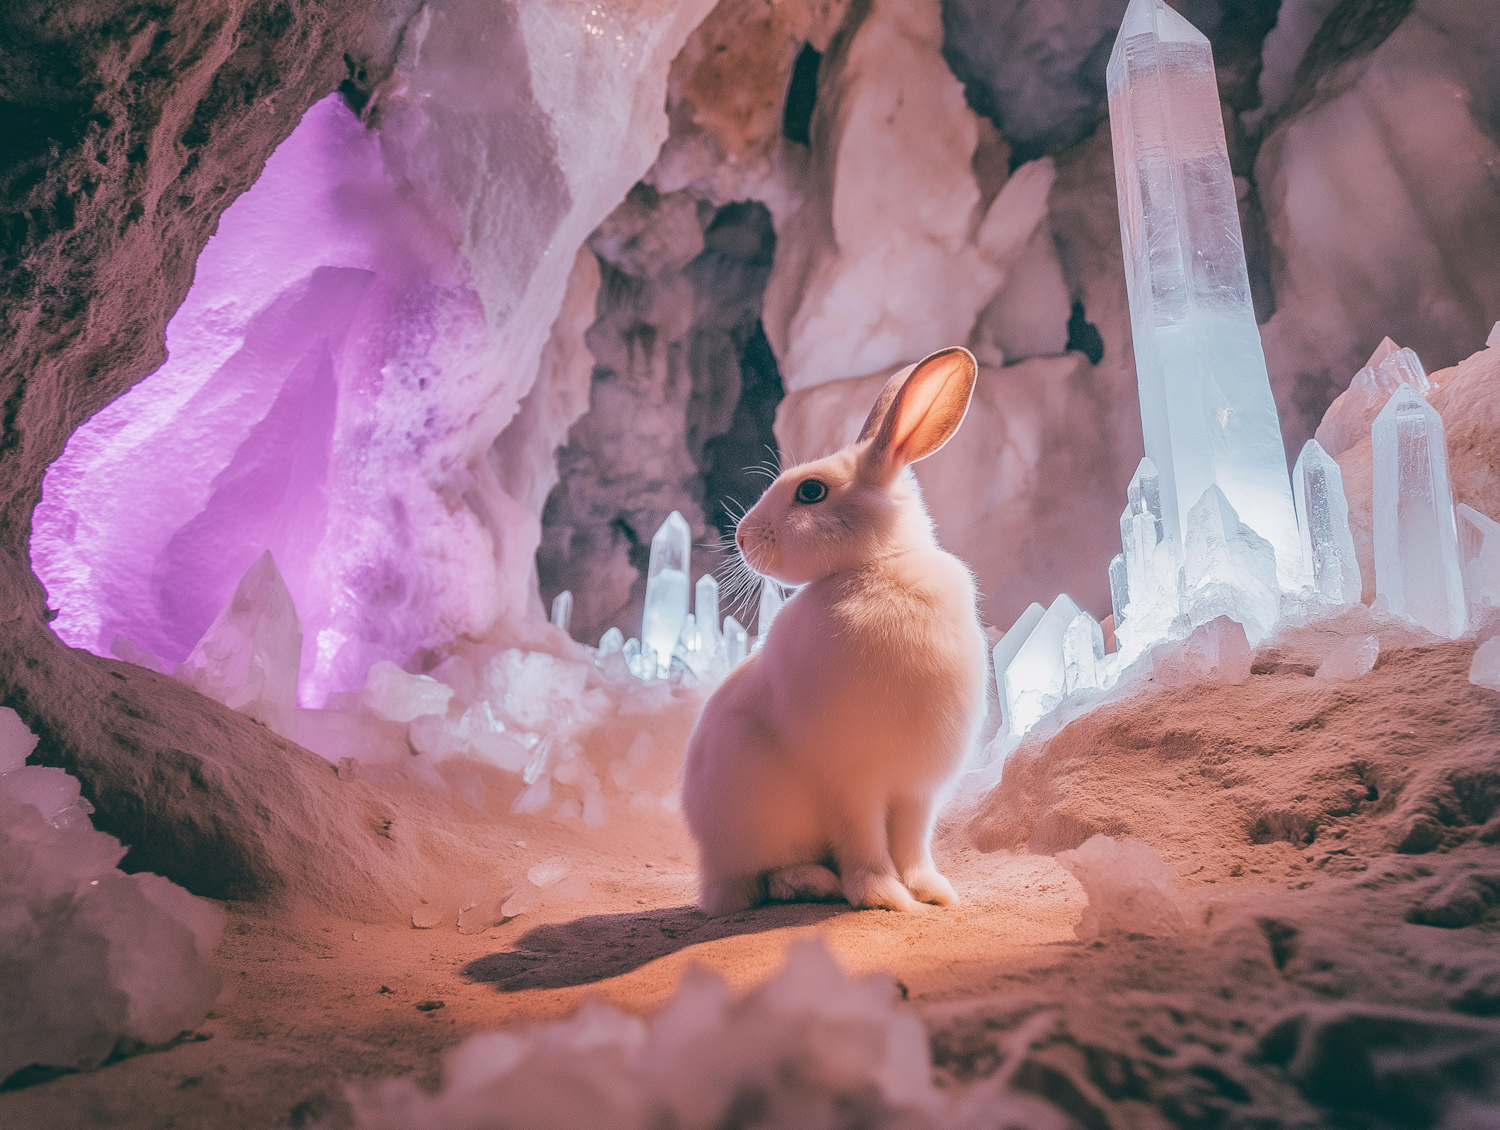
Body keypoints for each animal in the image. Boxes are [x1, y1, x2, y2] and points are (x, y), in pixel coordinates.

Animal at [687, 346, 990, 918]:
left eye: (811, 491)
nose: (741, 537)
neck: (879, 566)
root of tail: (712, 877)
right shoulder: (853, 783)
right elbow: (866, 845)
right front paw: (886, 898)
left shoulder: (917, 790)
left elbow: (913, 845)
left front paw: (934, 893)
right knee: (765, 879)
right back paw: (814, 882)